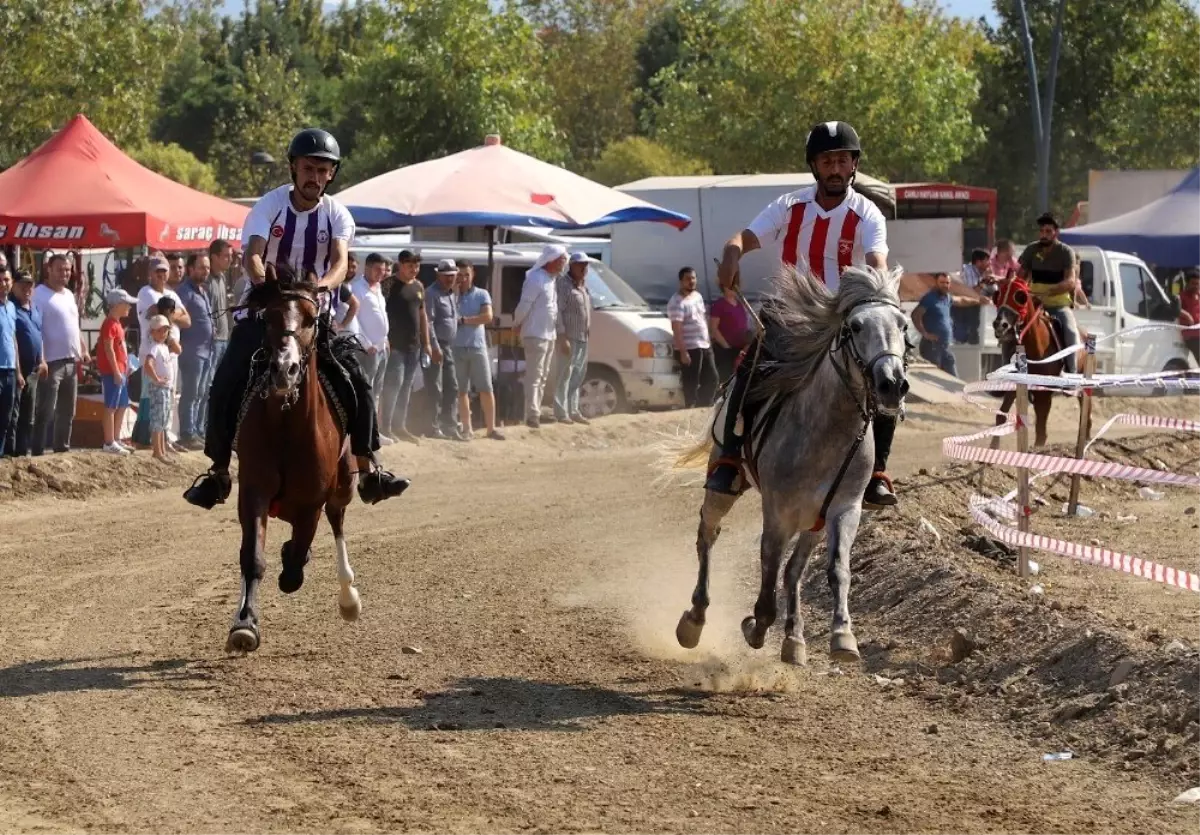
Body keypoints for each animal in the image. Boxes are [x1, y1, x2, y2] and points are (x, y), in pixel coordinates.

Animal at [225, 262, 355, 652]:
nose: (285, 368)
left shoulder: (312, 500)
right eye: (269, 317)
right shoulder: (253, 490)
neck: (287, 425)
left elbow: (297, 560)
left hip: (343, 483)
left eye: (312, 318)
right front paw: (244, 624)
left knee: (337, 519)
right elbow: (253, 557)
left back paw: (349, 598)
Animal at [676, 263, 907, 662]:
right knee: (708, 534)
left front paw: (842, 635)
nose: (892, 383)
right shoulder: (778, 513)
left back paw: (794, 638)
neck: (825, 432)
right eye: (855, 326)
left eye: (903, 325)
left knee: (794, 571)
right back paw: (695, 618)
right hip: (725, 488)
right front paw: (754, 626)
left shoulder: (844, 509)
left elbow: (837, 569)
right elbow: (768, 576)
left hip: (814, 520)